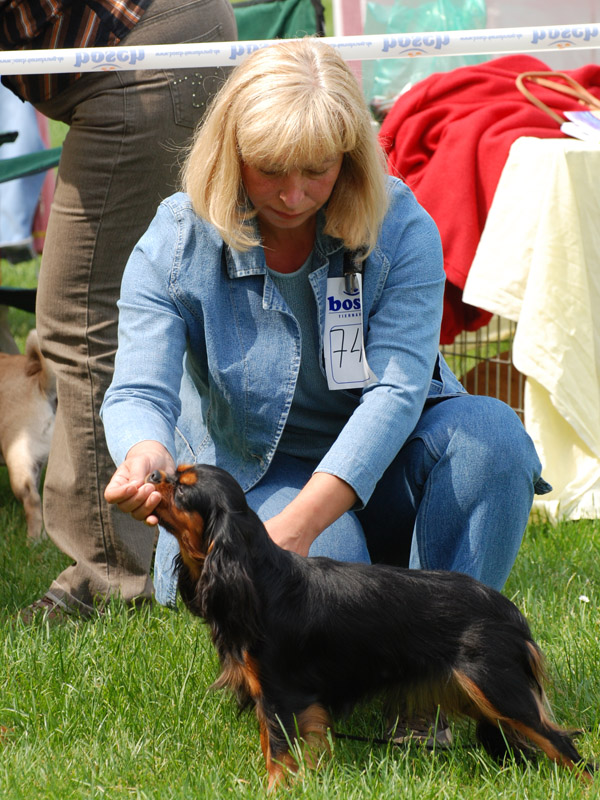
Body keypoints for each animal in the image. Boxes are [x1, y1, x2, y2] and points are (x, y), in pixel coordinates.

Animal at [148, 463, 593, 788]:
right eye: (171, 473)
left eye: (183, 489)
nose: (152, 475)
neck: (257, 578)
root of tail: (510, 611)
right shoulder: (269, 699)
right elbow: (270, 747)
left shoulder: (283, 696)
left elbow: (280, 755)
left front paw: (274, 792)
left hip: (497, 688)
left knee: (563, 744)